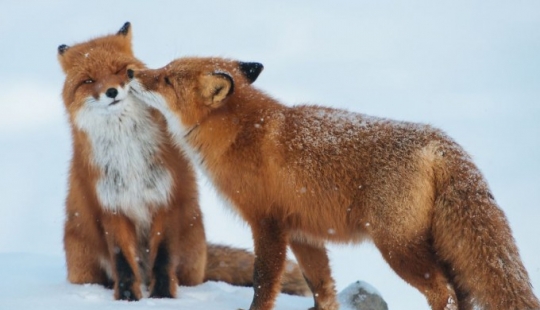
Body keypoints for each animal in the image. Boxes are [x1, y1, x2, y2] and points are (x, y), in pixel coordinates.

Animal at [56, 21, 308, 300]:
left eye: (120, 70)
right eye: (88, 81)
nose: (112, 92)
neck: (129, 154)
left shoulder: (167, 199)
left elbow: (163, 257)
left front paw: (163, 297)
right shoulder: (111, 207)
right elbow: (123, 262)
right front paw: (128, 298)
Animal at [127, 56, 540, 310]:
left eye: (165, 78)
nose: (131, 73)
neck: (241, 134)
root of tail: (439, 141)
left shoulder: (268, 225)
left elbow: (263, 285)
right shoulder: (303, 233)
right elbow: (322, 289)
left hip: (398, 248)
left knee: (446, 294)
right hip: (433, 246)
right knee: (463, 292)